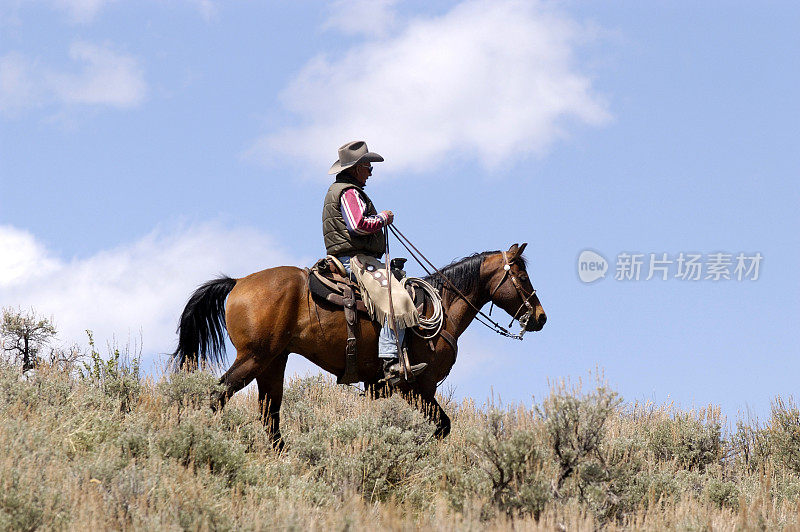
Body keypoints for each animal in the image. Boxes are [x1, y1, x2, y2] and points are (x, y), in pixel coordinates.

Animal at [172, 243, 548, 446]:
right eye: (522, 275)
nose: (540, 317)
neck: (438, 307)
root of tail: (237, 283)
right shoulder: (418, 387)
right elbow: (442, 427)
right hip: (252, 359)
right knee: (217, 395)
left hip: (272, 363)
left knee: (270, 415)